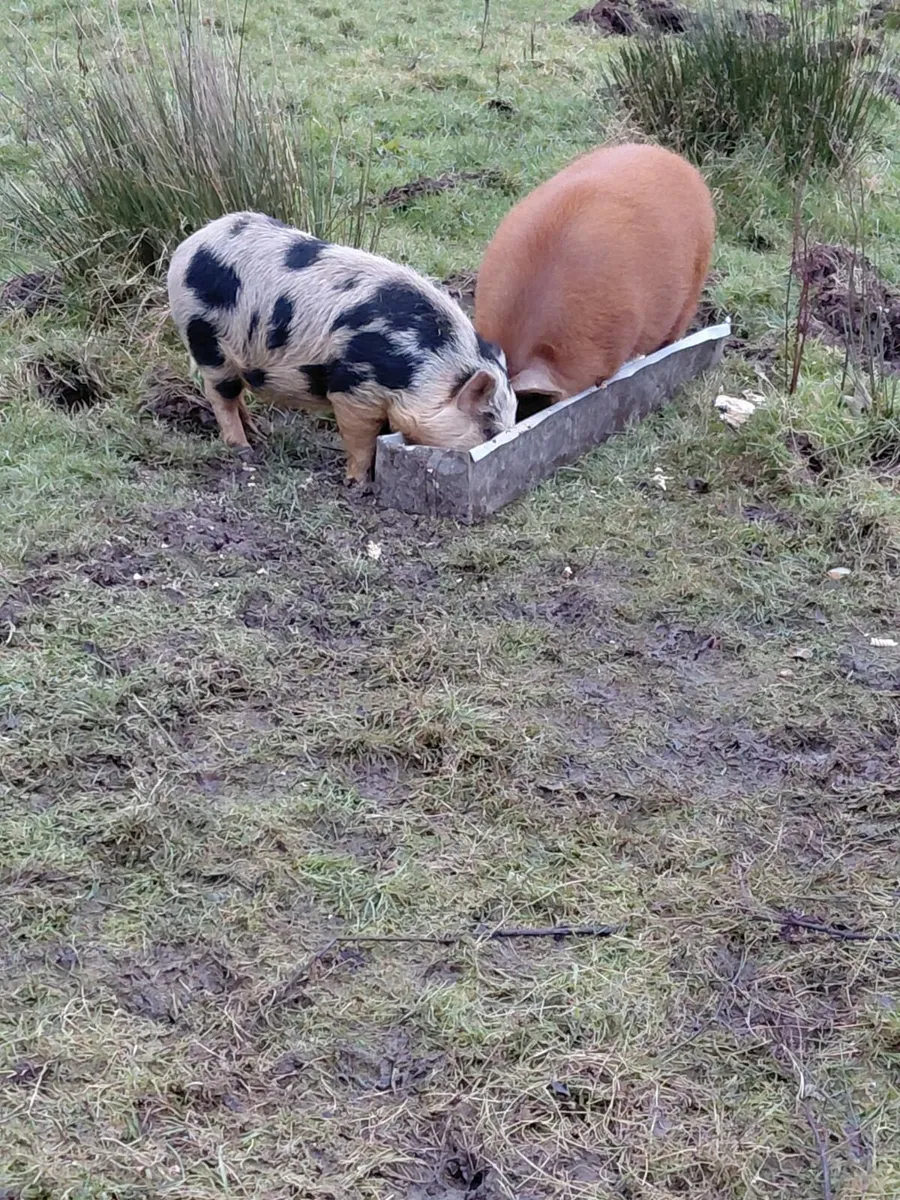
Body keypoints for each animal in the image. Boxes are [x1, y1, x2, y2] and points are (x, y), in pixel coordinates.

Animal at [166, 212, 517, 485]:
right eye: (488, 425)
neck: (422, 367)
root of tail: (187, 247)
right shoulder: (353, 388)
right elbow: (360, 438)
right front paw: (357, 483)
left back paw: (259, 432)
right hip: (205, 339)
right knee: (220, 395)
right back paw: (244, 449)